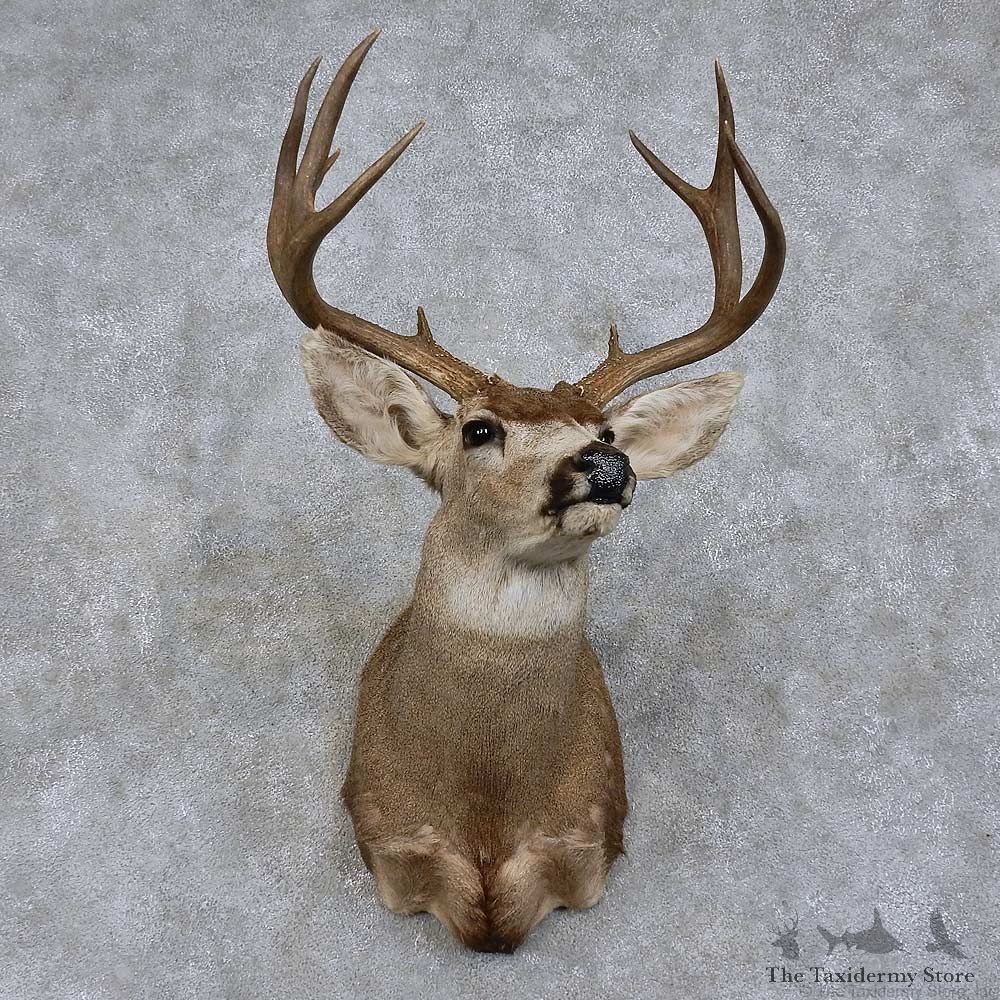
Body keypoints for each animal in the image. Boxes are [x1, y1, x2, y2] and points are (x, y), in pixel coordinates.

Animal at [267, 29, 785, 953]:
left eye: (607, 433)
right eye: (478, 430)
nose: (606, 469)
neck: (487, 815)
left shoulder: (591, 834)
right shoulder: (387, 839)